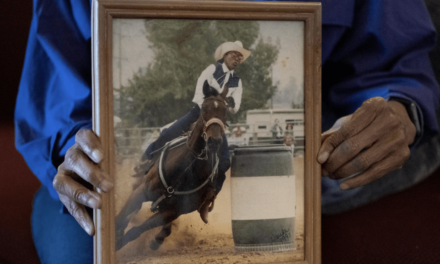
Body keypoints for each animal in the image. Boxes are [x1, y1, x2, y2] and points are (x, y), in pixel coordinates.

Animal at [113, 83, 230, 251]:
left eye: (225, 111)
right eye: (203, 108)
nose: (214, 141)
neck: (183, 170)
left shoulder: (171, 212)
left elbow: (136, 231)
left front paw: (119, 241)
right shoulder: (142, 191)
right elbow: (121, 217)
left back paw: (159, 237)